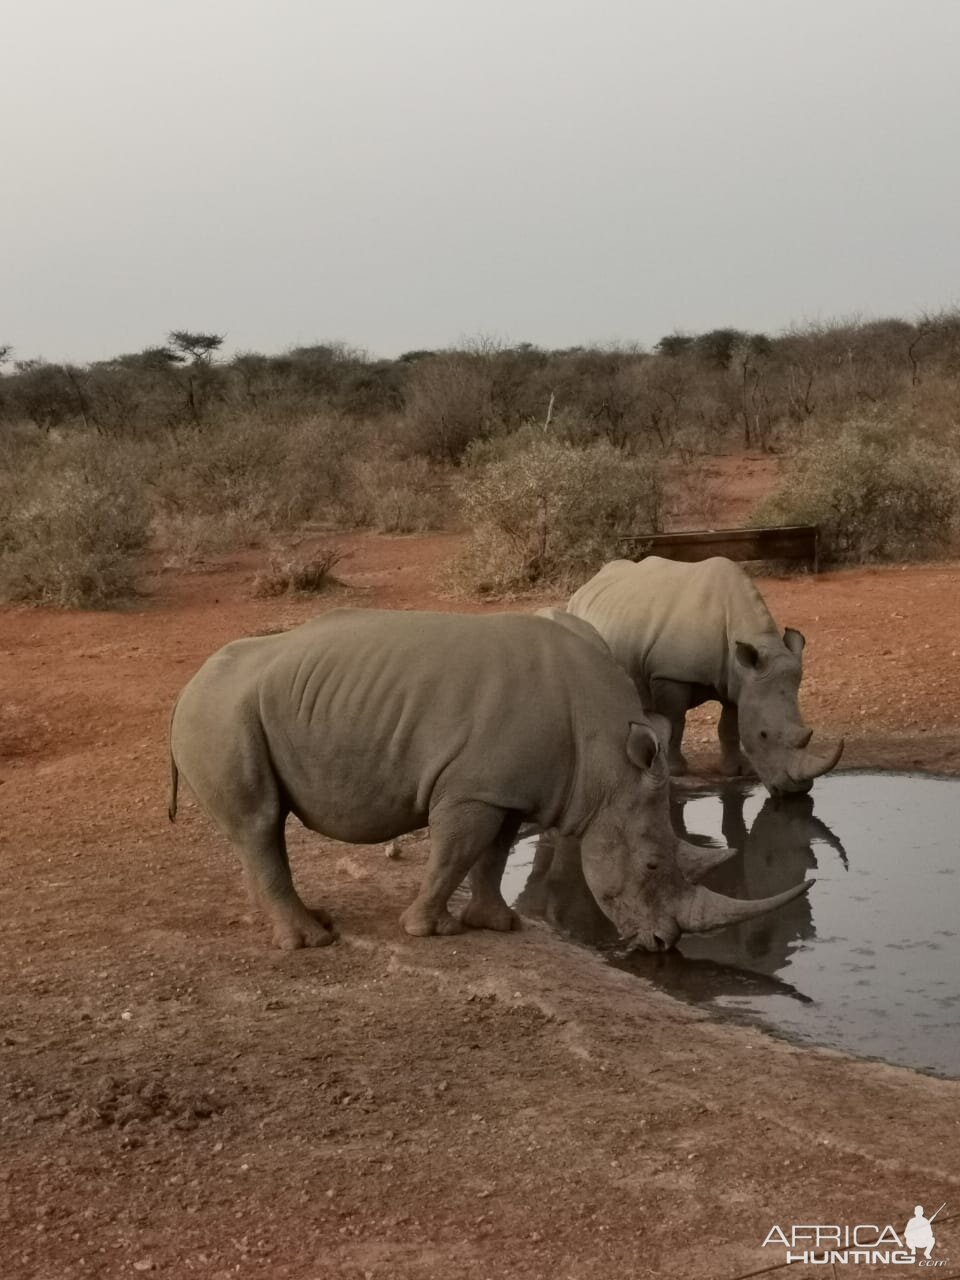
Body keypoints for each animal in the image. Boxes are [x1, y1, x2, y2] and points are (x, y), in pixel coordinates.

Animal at [167, 606, 814, 952]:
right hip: (221, 714)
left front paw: (497, 924)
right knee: (259, 822)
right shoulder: (473, 791)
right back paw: (314, 942)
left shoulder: (511, 789)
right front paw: (427, 931)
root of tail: (182, 693)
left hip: (228, 711)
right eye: (654, 865)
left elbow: (493, 856)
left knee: (258, 828)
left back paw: (298, 925)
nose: (661, 945)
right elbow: (453, 854)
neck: (608, 758)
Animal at [568, 558, 844, 793]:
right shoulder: (671, 675)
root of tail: (588, 584)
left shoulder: (740, 681)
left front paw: (737, 770)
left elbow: (730, 726)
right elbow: (676, 721)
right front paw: (677, 770)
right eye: (763, 734)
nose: (796, 792)